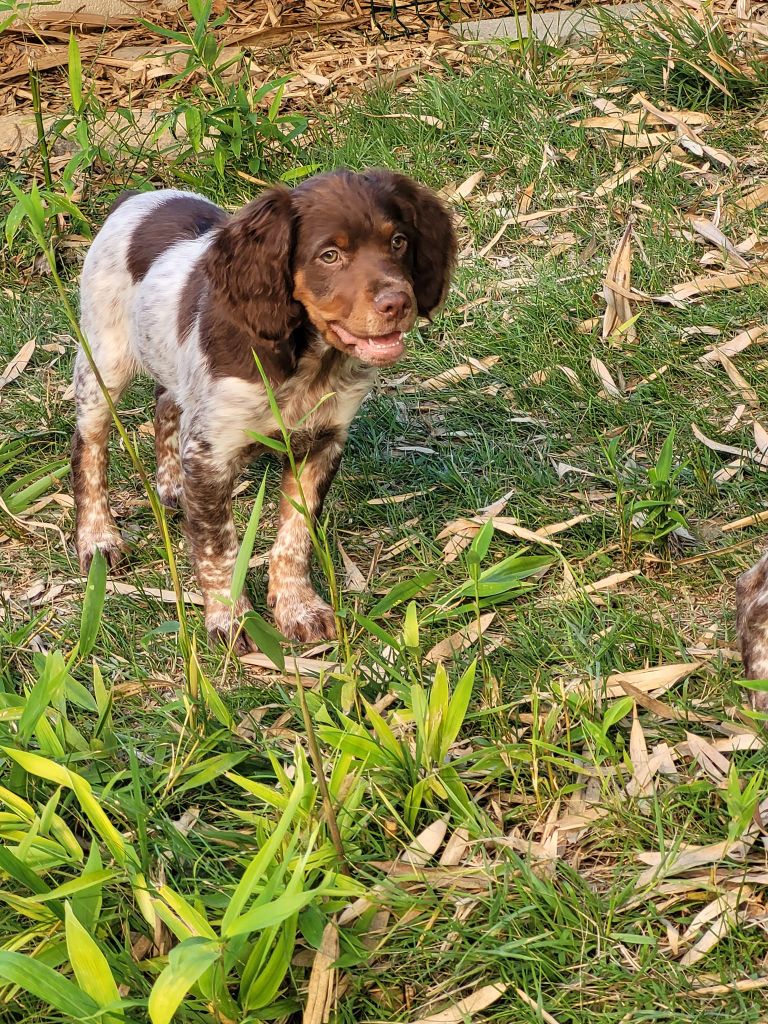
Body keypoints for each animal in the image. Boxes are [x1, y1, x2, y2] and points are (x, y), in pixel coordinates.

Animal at [72, 167, 456, 647]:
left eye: (399, 241)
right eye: (329, 255)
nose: (398, 303)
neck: (307, 362)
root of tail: (136, 197)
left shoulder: (321, 443)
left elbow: (295, 535)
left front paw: (297, 606)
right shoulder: (211, 455)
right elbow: (219, 547)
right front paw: (232, 619)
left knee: (165, 404)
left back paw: (172, 486)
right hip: (104, 361)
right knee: (88, 446)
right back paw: (97, 538)